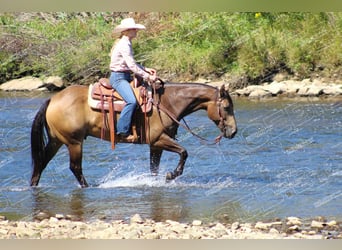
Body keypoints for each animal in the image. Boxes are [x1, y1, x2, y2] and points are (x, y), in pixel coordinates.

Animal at [30, 80, 236, 188]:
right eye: (226, 107)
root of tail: (53, 99)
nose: (234, 132)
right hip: (74, 142)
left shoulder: (155, 145)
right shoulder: (159, 139)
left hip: (57, 141)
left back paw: (33, 185)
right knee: (75, 167)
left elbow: (154, 168)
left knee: (41, 162)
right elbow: (184, 152)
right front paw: (171, 175)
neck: (168, 103)